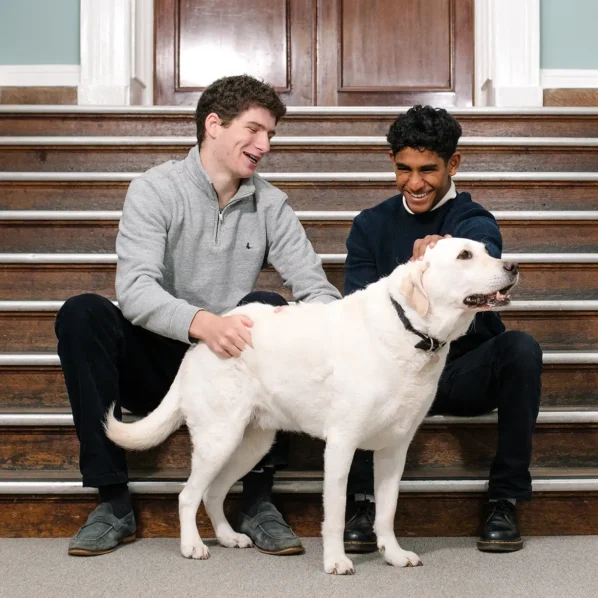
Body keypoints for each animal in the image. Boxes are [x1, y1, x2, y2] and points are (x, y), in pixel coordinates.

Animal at [105, 239, 516, 576]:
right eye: (464, 256)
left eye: (486, 249)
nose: (512, 266)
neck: (411, 331)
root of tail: (201, 339)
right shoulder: (341, 445)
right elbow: (334, 513)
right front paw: (336, 561)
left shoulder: (394, 449)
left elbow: (387, 511)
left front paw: (394, 554)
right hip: (219, 439)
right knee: (188, 495)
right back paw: (192, 545)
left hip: (251, 444)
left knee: (213, 492)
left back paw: (227, 537)